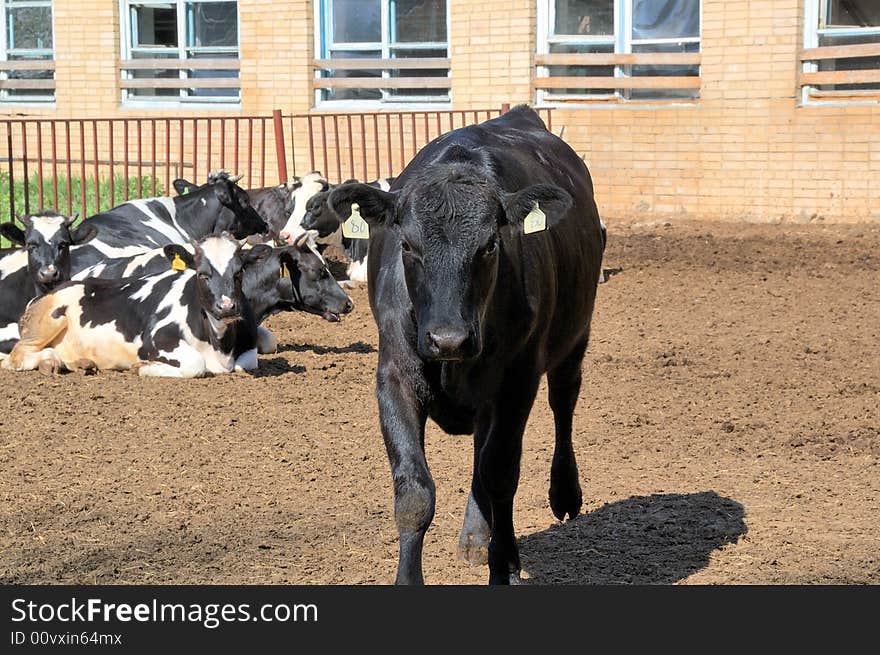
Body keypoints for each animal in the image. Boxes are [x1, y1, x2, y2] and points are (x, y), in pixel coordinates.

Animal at [4, 232, 354, 376]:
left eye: (238, 271)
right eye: (318, 270)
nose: (349, 303)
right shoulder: (155, 342)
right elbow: (195, 365)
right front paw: (142, 367)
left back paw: (74, 362)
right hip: (47, 321)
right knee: (15, 357)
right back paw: (48, 362)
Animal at [326, 105, 608, 588]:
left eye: (490, 245)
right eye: (407, 244)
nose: (448, 339)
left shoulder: (517, 381)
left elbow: (501, 474)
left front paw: (503, 567)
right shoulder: (395, 377)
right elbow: (415, 491)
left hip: (575, 337)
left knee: (562, 404)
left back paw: (561, 495)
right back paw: (476, 536)